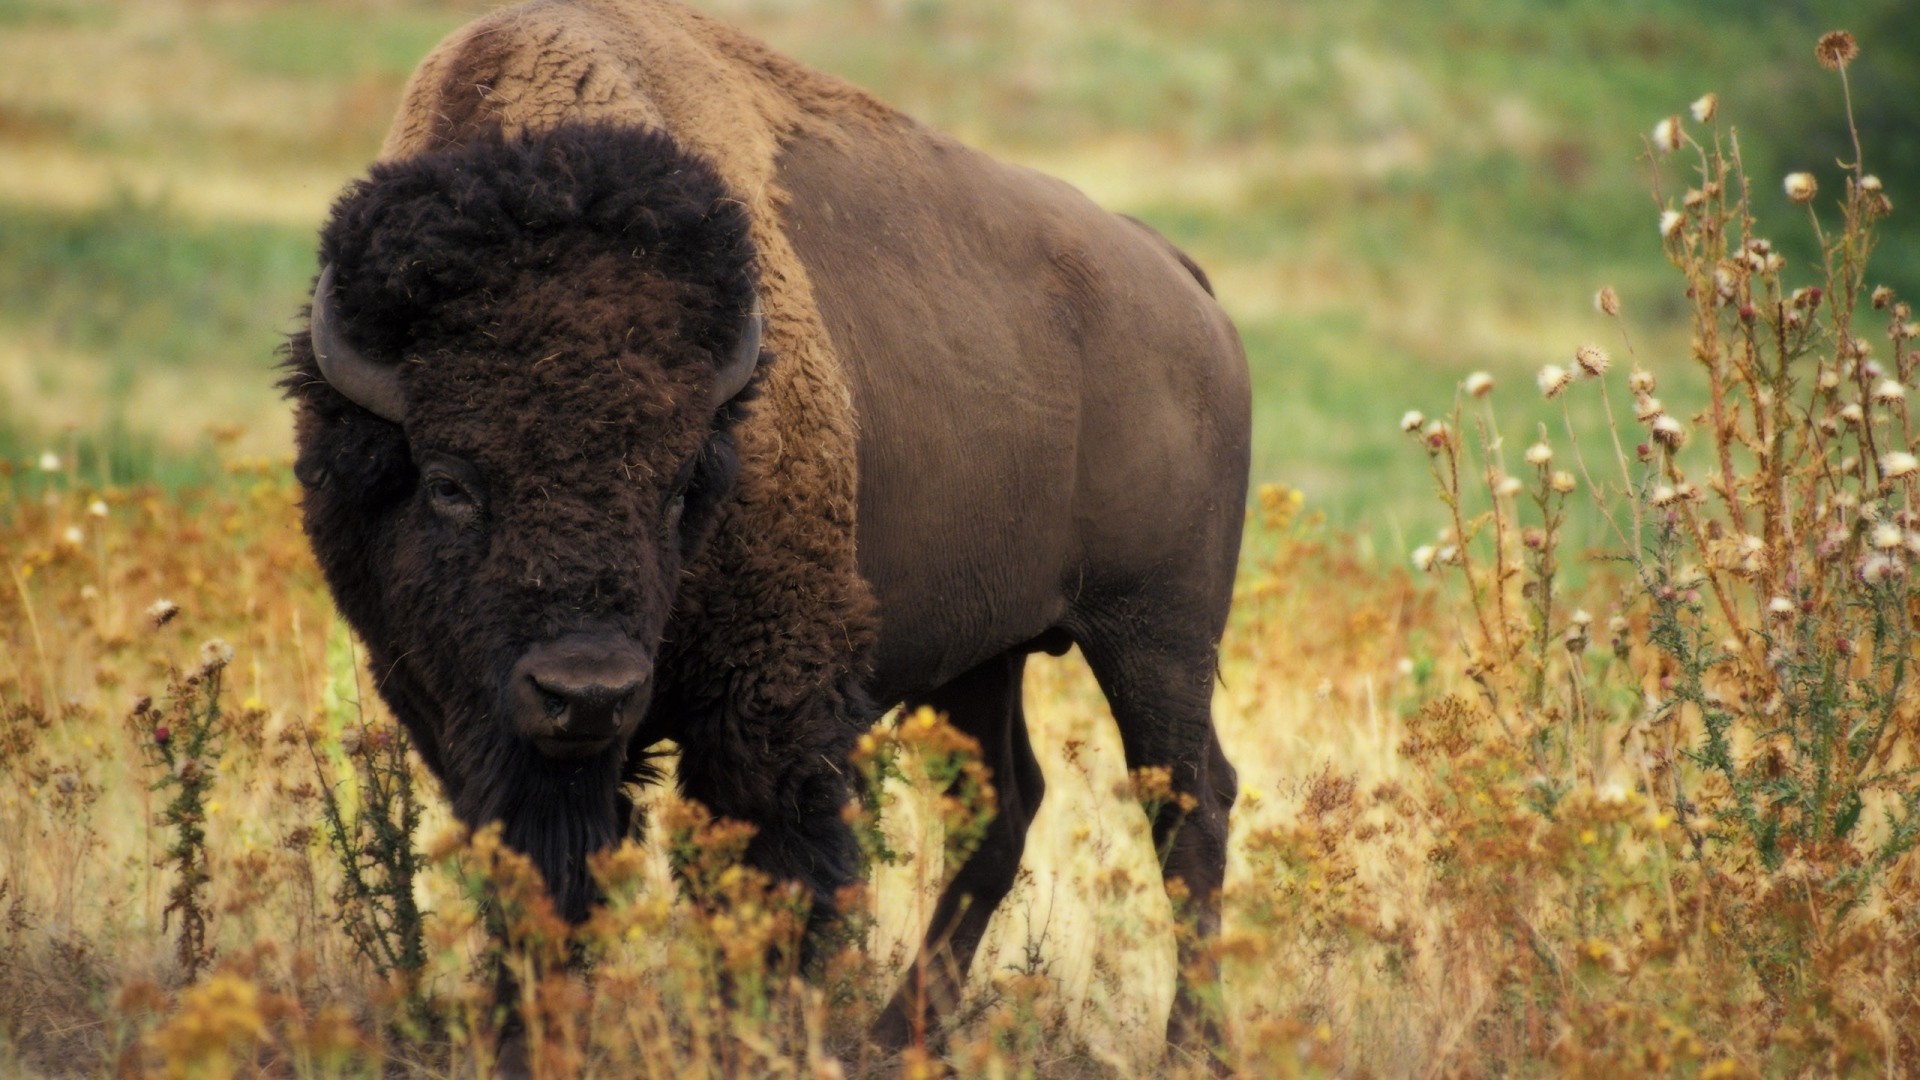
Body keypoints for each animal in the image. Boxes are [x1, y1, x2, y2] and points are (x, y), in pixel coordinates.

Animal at [284, 0, 1250, 1052]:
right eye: (450, 482)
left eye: (679, 486)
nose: (587, 692)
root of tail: (1179, 282)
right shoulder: (463, 714)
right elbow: (543, 878)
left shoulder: (769, 702)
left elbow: (768, 879)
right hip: (984, 653)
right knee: (1007, 804)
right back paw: (896, 1039)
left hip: (1157, 634)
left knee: (1190, 805)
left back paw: (1189, 1045)